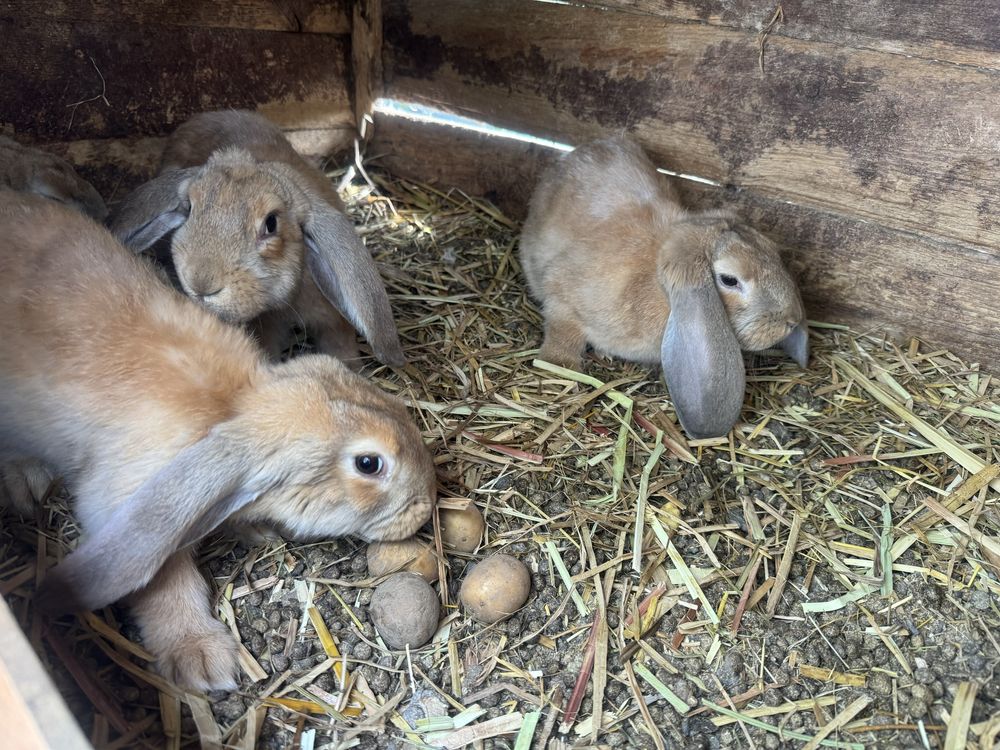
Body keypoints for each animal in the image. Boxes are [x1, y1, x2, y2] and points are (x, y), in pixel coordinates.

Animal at [0, 192, 438, 692]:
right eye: (369, 464)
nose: (427, 505)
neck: (233, 403)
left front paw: (257, 532)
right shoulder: (128, 501)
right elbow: (163, 577)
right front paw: (203, 659)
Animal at [520, 138, 808, 440]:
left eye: (774, 251)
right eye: (729, 280)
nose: (792, 320)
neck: (656, 287)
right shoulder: (562, 295)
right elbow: (562, 331)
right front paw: (560, 366)